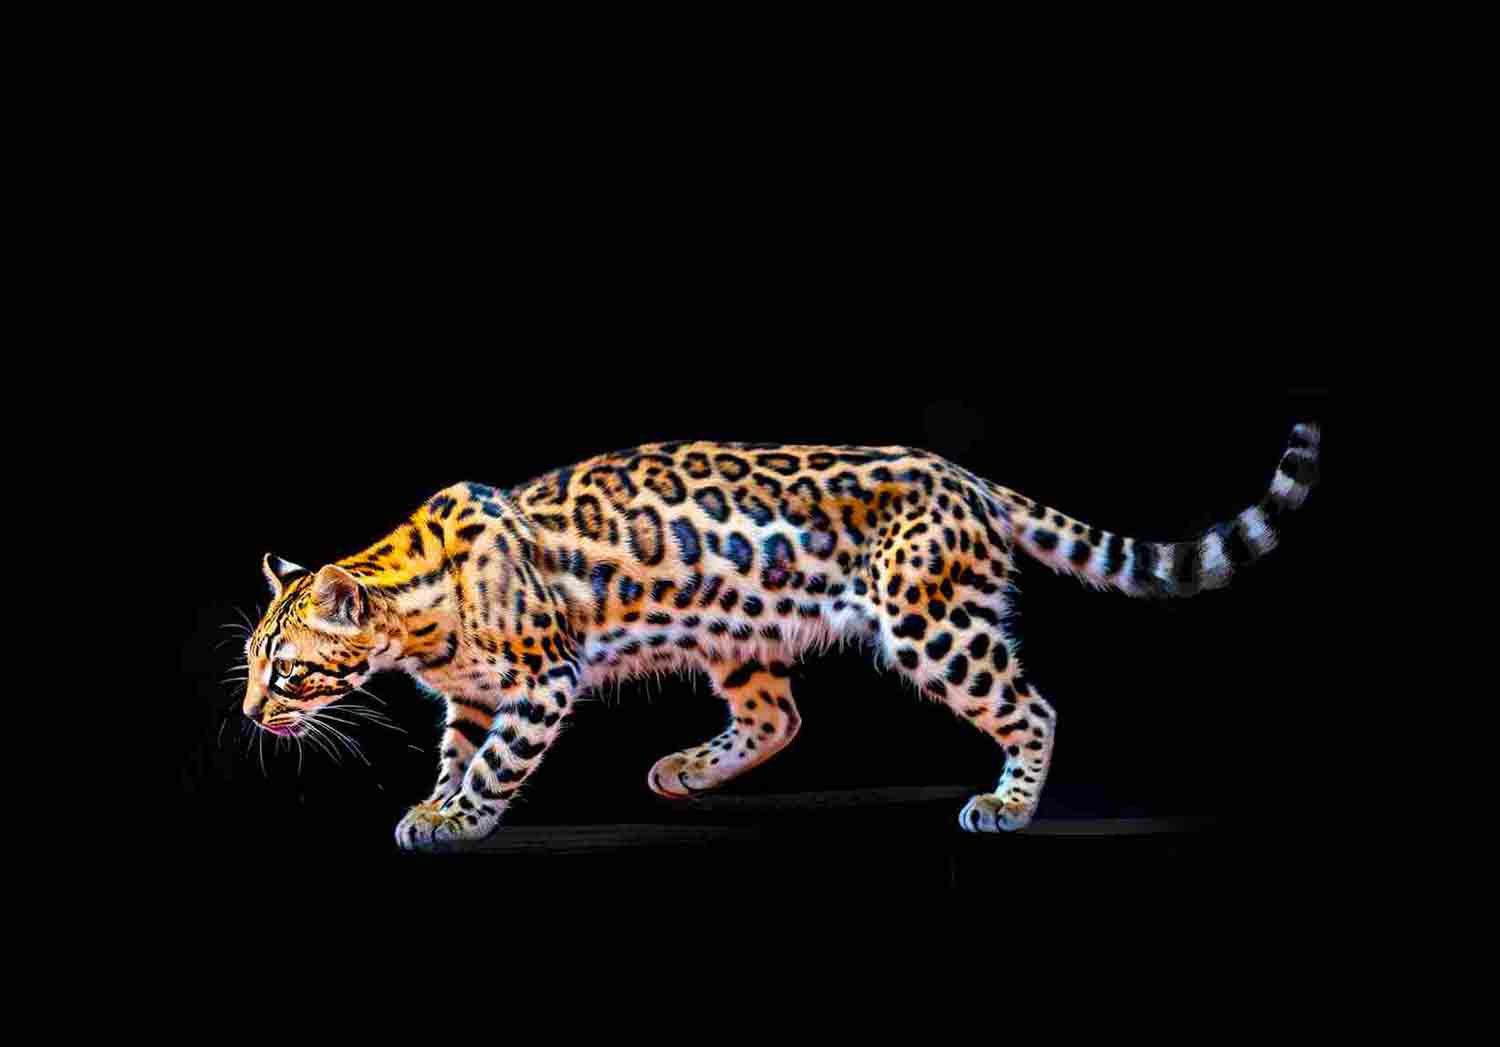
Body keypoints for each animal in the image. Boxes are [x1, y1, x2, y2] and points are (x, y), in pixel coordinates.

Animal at [240, 423, 1320, 850]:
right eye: (249, 666)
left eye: (288, 672)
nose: (251, 715)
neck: (418, 611)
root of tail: (968, 477)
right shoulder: (471, 693)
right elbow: (461, 749)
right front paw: (436, 803)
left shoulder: (543, 679)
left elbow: (500, 759)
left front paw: (459, 818)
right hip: (744, 635)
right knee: (778, 718)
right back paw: (683, 769)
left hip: (933, 623)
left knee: (1032, 704)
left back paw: (1008, 805)